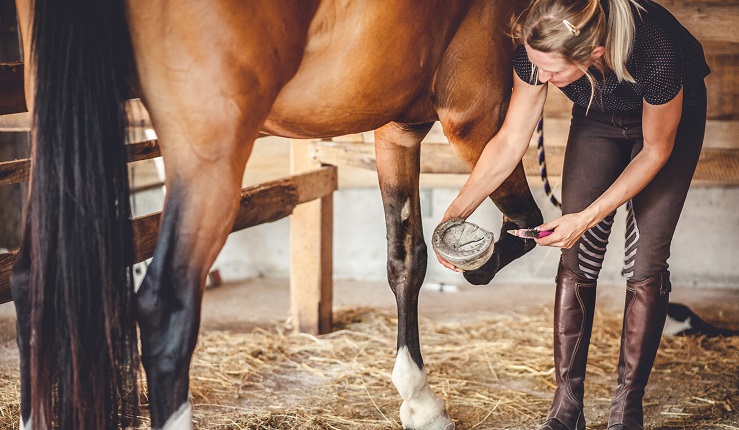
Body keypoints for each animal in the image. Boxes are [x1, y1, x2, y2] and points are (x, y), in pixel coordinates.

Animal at [12, 0, 543, 428]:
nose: (476, 276)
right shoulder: (476, 114)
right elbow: (522, 216)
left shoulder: (398, 129)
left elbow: (406, 260)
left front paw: (419, 402)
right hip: (208, 155)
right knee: (164, 313)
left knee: (30, 283)